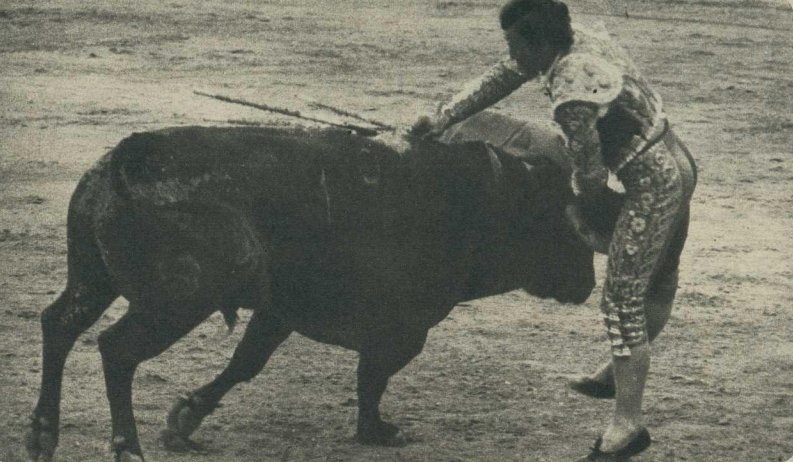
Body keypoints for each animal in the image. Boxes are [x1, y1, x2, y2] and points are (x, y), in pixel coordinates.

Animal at [26, 111, 632, 458]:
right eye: (566, 230)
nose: (585, 286)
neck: (481, 201)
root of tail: (127, 160)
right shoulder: (403, 325)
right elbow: (373, 376)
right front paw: (375, 430)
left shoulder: (279, 310)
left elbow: (246, 363)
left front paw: (185, 421)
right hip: (177, 301)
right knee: (117, 349)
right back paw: (125, 447)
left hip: (92, 278)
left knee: (58, 325)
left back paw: (42, 435)